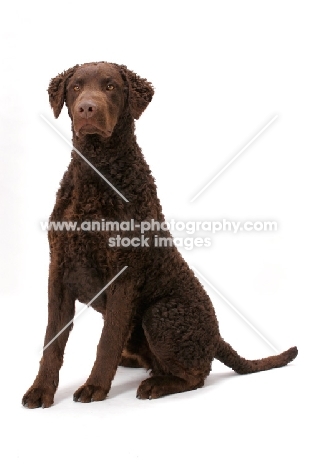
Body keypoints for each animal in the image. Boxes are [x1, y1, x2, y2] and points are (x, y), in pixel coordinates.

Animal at [22, 61, 298, 406]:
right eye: (75, 87)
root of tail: (216, 336)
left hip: (161, 313)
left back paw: (156, 385)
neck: (96, 174)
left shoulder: (124, 274)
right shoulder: (59, 271)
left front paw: (95, 387)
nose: (87, 107)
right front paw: (40, 390)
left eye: (111, 86)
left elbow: (107, 340)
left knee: (196, 375)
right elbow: (52, 341)